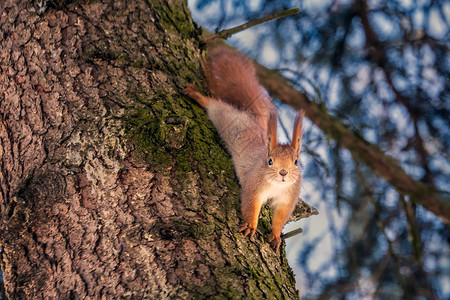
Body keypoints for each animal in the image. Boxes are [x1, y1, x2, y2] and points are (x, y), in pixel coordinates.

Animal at [184, 45, 306, 252]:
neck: (276, 186)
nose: (283, 173)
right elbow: (251, 205)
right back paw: (197, 95)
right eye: (270, 160)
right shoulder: (254, 185)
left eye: (296, 162)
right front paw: (250, 224)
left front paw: (275, 236)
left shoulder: (288, 198)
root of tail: (251, 118)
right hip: (225, 116)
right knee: (215, 105)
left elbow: (279, 218)